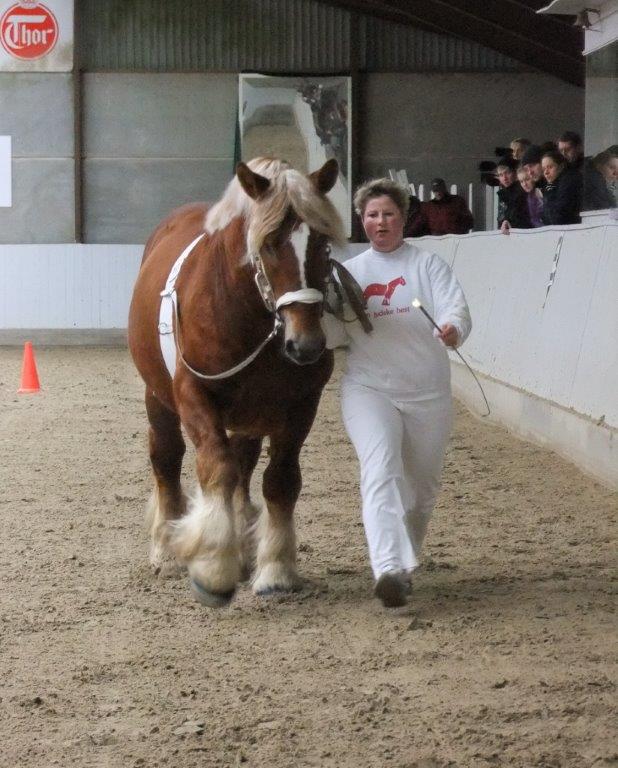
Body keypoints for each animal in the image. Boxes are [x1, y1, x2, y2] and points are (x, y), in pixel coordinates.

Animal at [127, 159, 344, 608]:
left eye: (322, 243)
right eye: (269, 244)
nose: (306, 344)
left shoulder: (301, 404)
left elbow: (280, 480)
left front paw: (276, 569)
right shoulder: (194, 396)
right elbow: (217, 469)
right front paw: (212, 568)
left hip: (250, 414)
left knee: (244, 465)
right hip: (159, 399)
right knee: (167, 458)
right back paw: (167, 547)